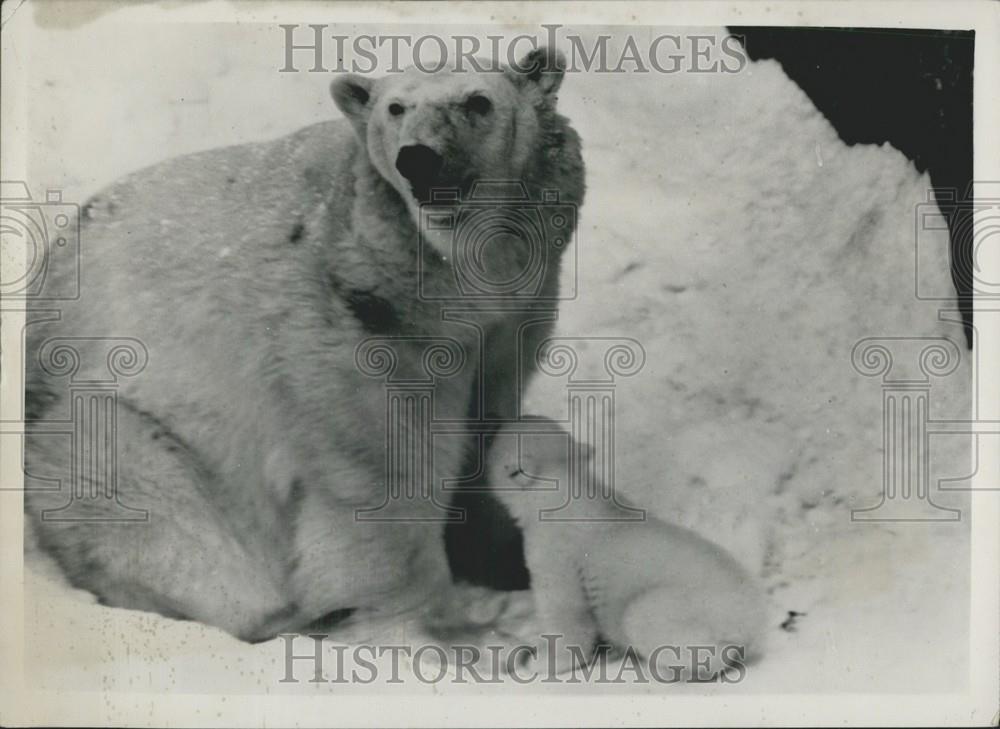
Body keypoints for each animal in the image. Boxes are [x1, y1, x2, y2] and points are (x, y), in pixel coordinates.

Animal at [21, 47, 584, 644]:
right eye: (395, 107)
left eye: (478, 101)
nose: (418, 159)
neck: (448, 266)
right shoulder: (357, 310)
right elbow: (382, 459)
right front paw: (442, 631)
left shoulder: (515, 310)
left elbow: (488, 418)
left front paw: (507, 563)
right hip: (113, 424)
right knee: (142, 500)